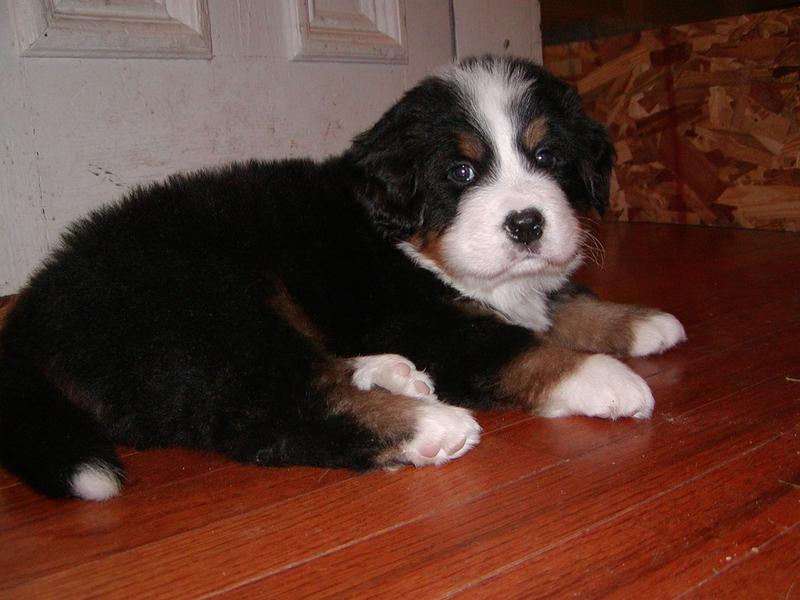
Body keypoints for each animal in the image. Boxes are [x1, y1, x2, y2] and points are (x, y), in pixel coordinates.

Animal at [0, 56, 688, 500]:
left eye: (547, 156)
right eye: (461, 173)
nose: (526, 223)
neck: (411, 246)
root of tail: (32, 312)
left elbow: (560, 302)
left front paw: (640, 321)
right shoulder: (418, 317)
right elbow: (515, 344)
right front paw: (604, 378)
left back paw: (392, 376)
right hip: (209, 302)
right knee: (263, 412)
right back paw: (428, 427)